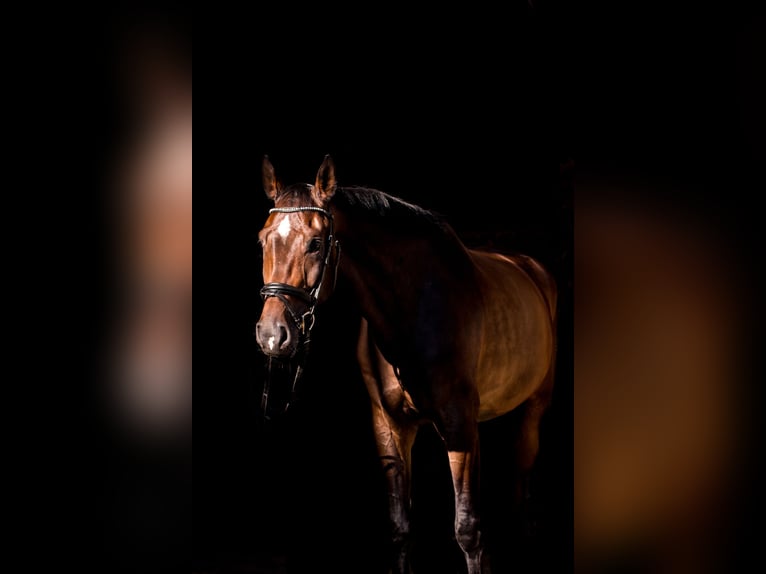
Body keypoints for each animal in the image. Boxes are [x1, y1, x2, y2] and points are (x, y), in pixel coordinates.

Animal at [255, 156, 557, 574]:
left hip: (533, 409)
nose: (272, 334)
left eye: (315, 244)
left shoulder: (459, 426)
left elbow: (468, 530)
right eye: (263, 239)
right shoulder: (389, 425)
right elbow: (400, 528)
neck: (413, 312)